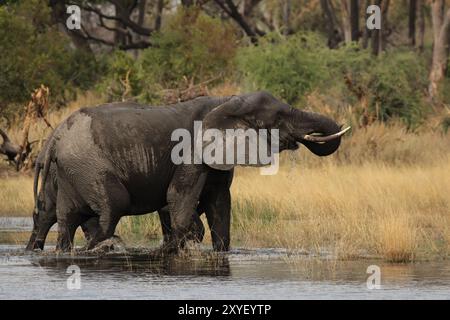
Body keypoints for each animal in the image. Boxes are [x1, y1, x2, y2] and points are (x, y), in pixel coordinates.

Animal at [37, 92, 348, 252]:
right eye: (277, 118)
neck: (226, 102)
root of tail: (56, 135)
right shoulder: (190, 152)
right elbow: (177, 199)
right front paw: (178, 247)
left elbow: (220, 204)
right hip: (89, 165)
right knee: (112, 206)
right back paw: (102, 247)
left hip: (72, 169)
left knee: (60, 218)